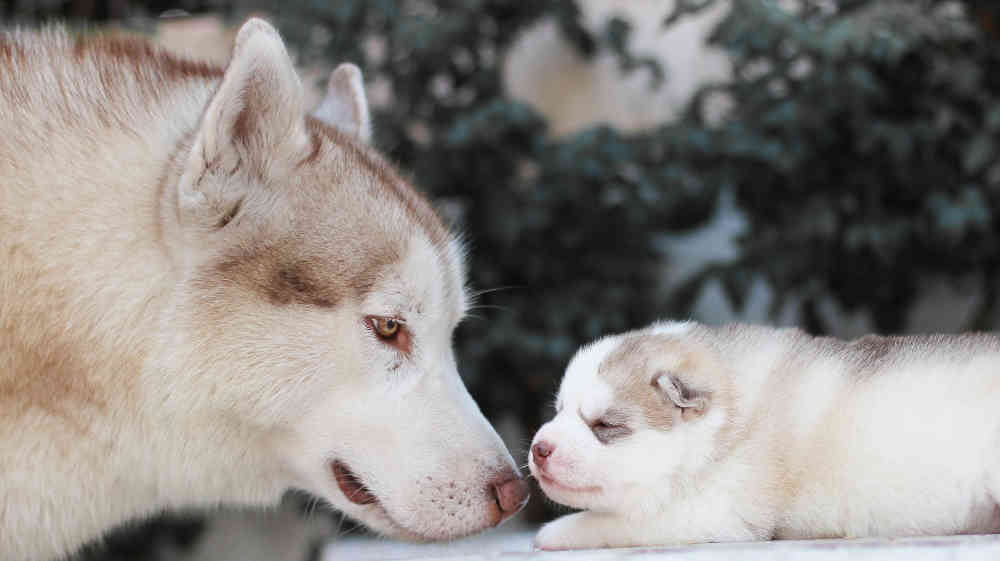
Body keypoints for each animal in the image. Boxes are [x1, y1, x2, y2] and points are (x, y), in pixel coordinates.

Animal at [528, 322, 1000, 548]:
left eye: (604, 425)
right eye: (559, 410)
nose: (538, 448)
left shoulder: (717, 509)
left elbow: (609, 520)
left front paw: (554, 533)